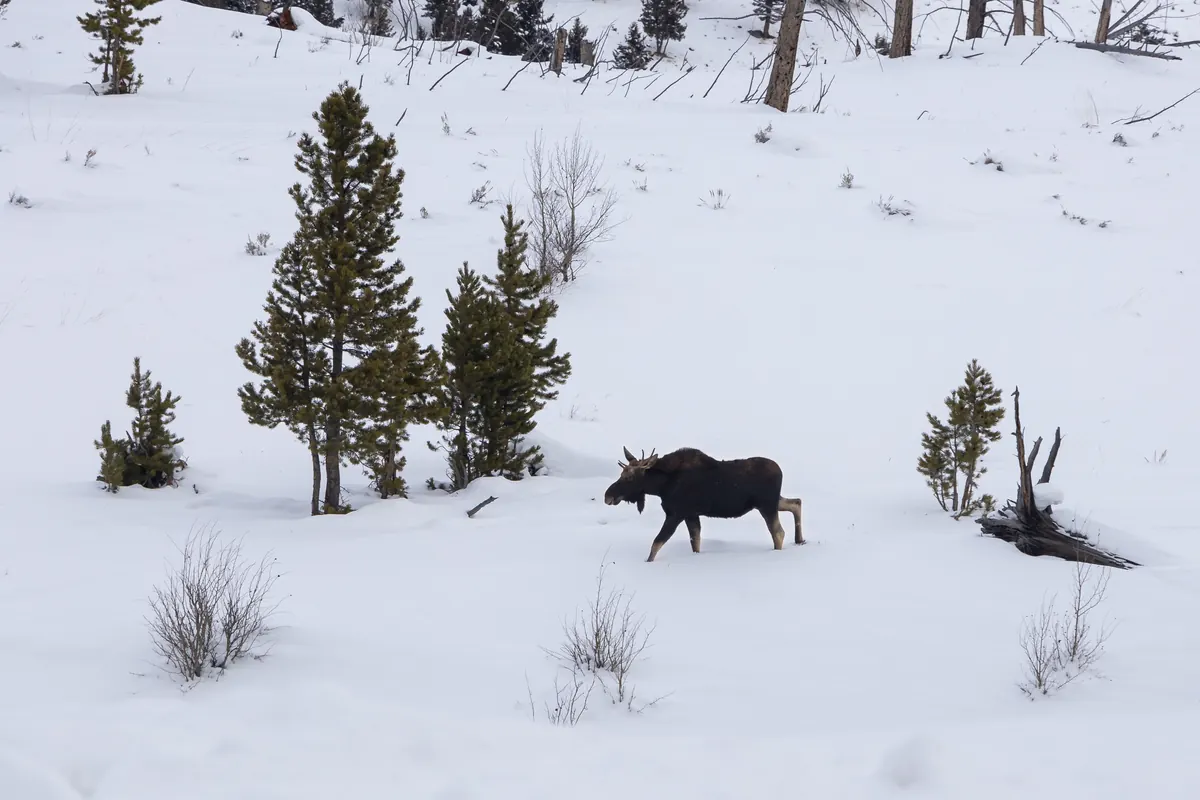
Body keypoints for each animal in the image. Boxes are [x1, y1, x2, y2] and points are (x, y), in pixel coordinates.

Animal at [603, 446, 804, 563]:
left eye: (629, 478)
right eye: (621, 475)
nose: (607, 496)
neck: (661, 486)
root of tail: (780, 471)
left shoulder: (675, 513)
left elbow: (656, 544)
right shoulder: (691, 515)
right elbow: (695, 542)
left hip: (766, 505)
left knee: (778, 532)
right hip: (770, 502)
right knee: (796, 502)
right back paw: (800, 540)